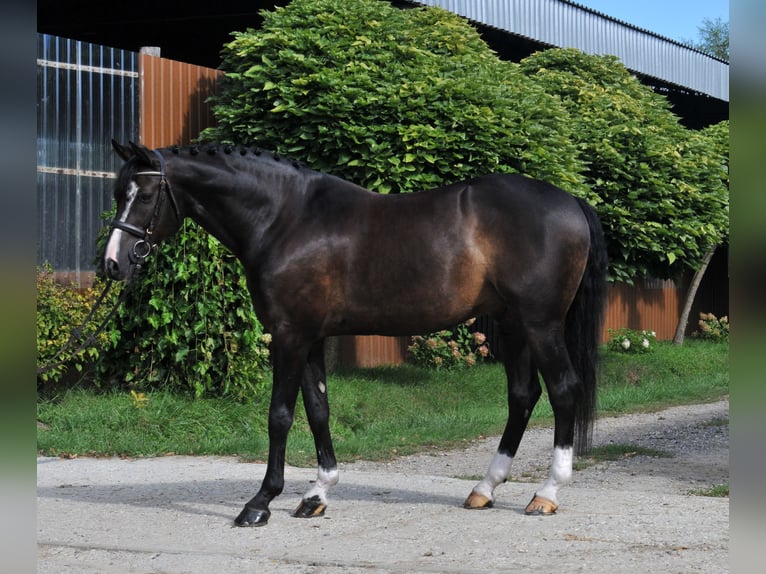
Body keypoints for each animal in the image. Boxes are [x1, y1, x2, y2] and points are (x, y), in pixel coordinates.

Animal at [104, 140, 608, 527]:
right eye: (117, 194)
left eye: (144, 196)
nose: (113, 263)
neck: (285, 218)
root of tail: (569, 201)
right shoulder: (311, 337)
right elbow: (318, 410)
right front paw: (316, 495)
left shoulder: (289, 336)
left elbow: (280, 415)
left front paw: (260, 503)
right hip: (512, 325)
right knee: (523, 396)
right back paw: (484, 488)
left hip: (540, 325)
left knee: (563, 390)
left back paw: (546, 494)